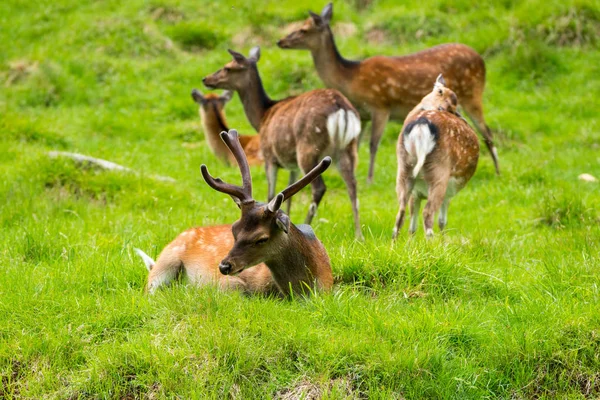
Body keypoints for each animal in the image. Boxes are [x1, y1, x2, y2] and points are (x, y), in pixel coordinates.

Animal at [202, 47, 364, 241]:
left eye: (228, 67)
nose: (206, 79)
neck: (263, 117)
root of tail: (341, 108)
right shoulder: (291, 164)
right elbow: (288, 193)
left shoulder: (269, 156)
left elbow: (271, 193)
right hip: (348, 149)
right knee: (353, 186)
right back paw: (359, 235)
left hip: (308, 148)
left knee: (319, 187)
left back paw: (308, 223)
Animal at [278, 2, 502, 181]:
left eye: (304, 29)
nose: (280, 41)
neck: (350, 79)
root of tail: (482, 61)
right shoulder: (363, 114)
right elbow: (356, 145)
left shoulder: (380, 106)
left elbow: (373, 145)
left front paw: (369, 179)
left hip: (473, 94)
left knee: (487, 132)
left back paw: (498, 173)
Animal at [392, 76, 480, 238]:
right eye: (440, 91)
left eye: (452, 107)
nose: (441, 108)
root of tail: (421, 126)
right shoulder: (449, 192)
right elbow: (442, 221)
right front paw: (444, 241)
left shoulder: (416, 193)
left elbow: (412, 226)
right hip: (440, 172)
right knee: (428, 213)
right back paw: (432, 242)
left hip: (404, 169)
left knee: (400, 213)